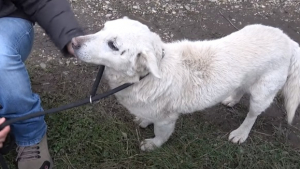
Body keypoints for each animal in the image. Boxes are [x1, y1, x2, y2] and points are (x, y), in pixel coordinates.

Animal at [72, 16, 300, 152]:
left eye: (113, 45)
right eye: (102, 28)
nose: (73, 43)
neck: (144, 77)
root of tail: (288, 41)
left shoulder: (167, 120)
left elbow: (161, 134)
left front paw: (153, 144)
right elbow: (147, 117)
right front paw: (144, 120)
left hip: (263, 93)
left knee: (252, 115)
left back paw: (241, 133)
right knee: (241, 88)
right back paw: (231, 100)